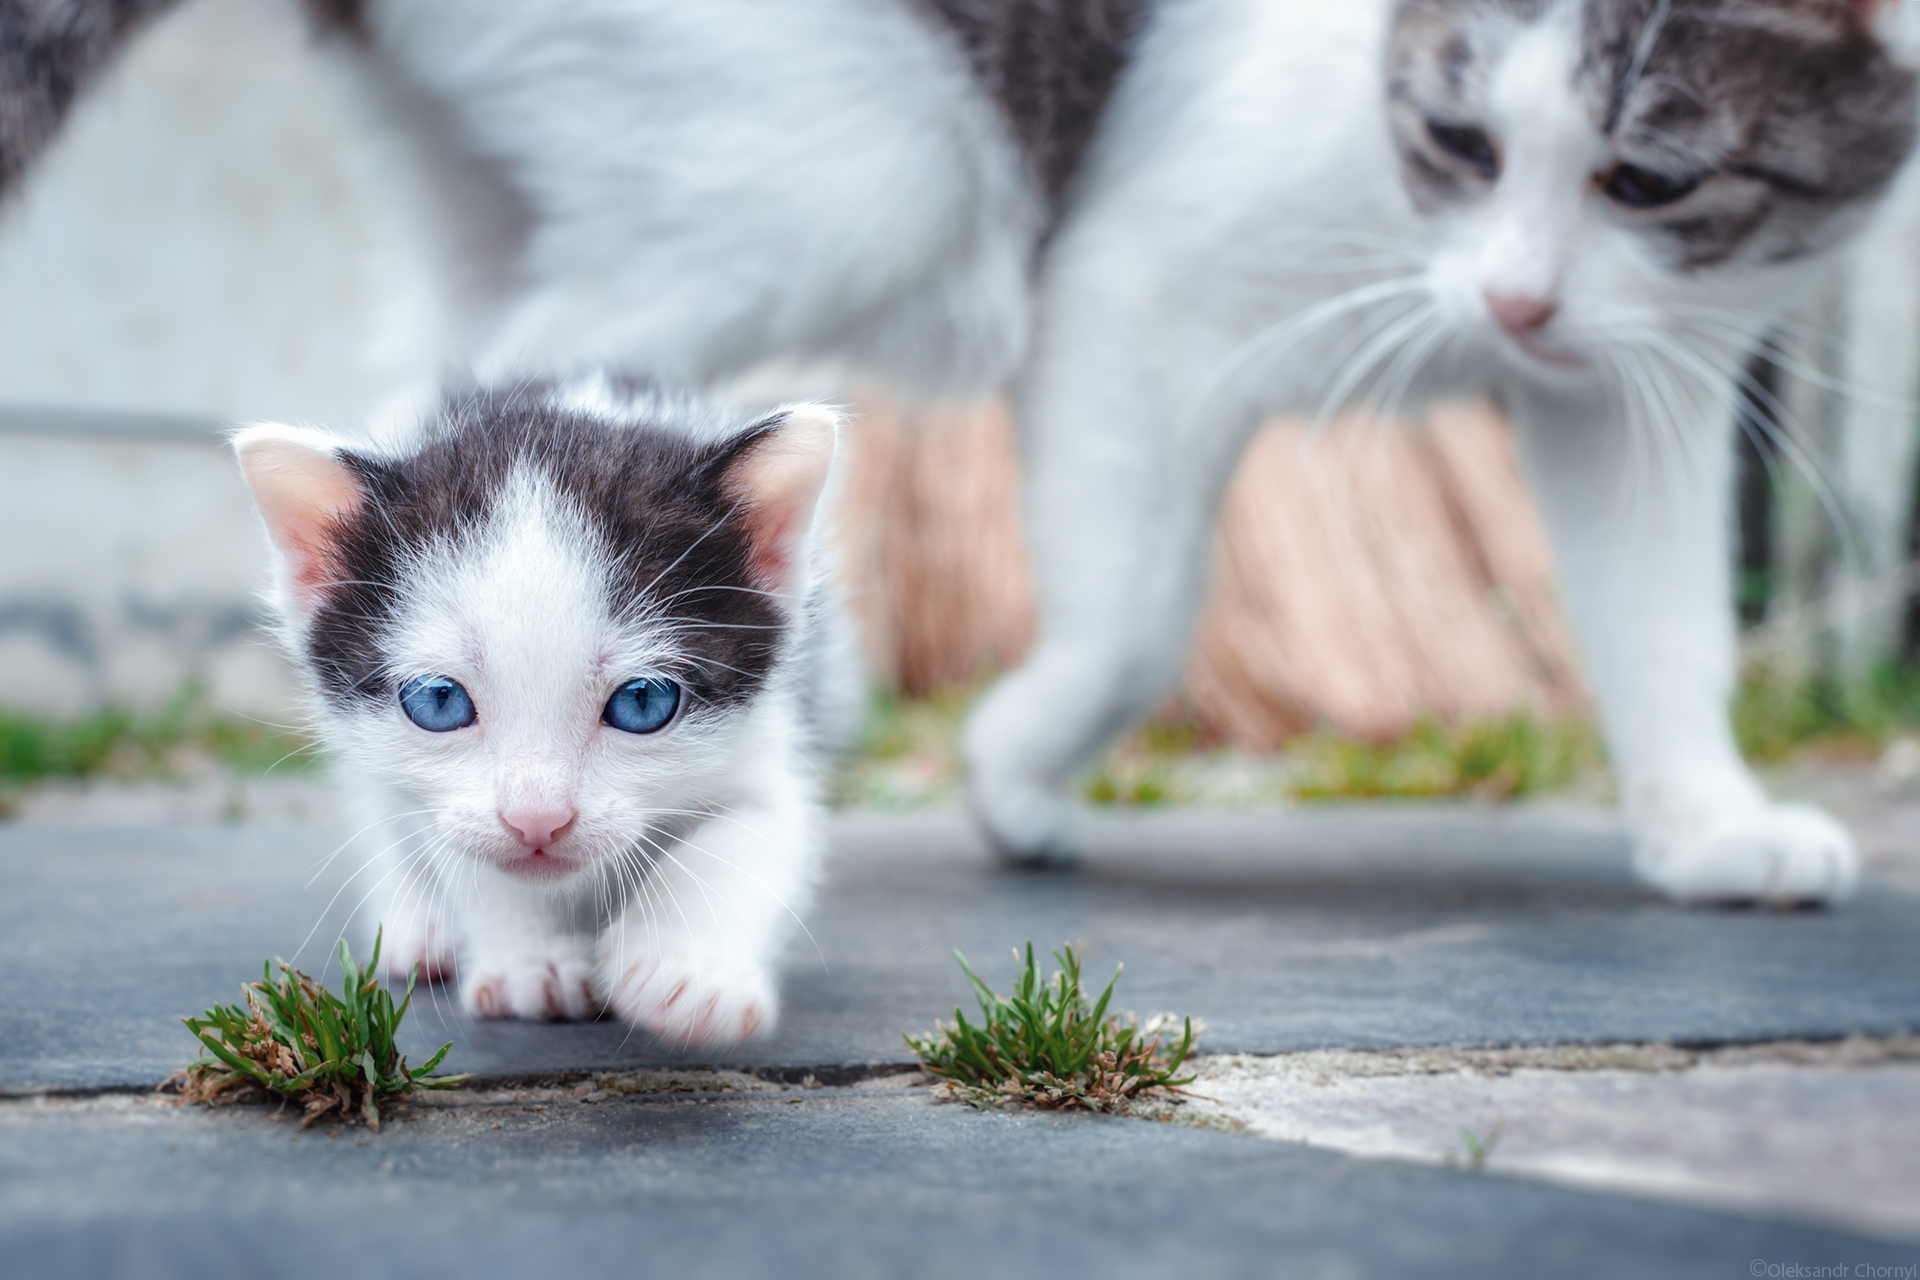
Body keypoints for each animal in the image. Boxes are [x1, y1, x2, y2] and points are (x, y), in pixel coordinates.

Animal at [15, 0, 1920, 905]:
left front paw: (1707, 823)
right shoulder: (1138, 282)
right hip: (858, 167)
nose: (1515, 302)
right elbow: (1139, 611)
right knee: (485, 423)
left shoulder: (1647, 364)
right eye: (1459, 135)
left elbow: (1664, 615)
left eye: (1650, 178)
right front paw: (1012, 768)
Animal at [230, 379, 856, 1051]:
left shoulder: (771, 731)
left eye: (642, 702)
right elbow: (465, 854)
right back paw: (417, 928)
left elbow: (751, 833)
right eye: (439, 701)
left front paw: (688, 974)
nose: (537, 819)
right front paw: (533, 966)